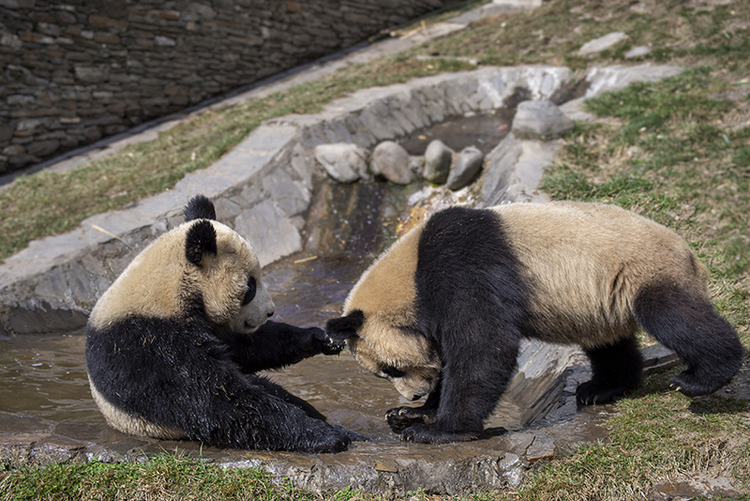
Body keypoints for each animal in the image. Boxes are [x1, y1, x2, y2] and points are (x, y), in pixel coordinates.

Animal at [86, 193, 352, 452]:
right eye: (250, 287)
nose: (270, 312)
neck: (166, 288)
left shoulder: (208, 323)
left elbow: (246, 348)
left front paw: (319, 338)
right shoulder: (150, 343)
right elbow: (215, 399)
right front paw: (327, 436)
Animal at [328, 201, 748, 444]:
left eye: (390, 368)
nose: (412, 395)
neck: (410, 276)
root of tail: (691, 256)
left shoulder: (464, 268)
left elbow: (484, 346)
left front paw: (437, 430)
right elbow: (452, 357)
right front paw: (410, 415)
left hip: (642, 269)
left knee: (676, 317)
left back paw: (701, 378)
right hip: (604, 300)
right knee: (610, 344)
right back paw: (603, 388)